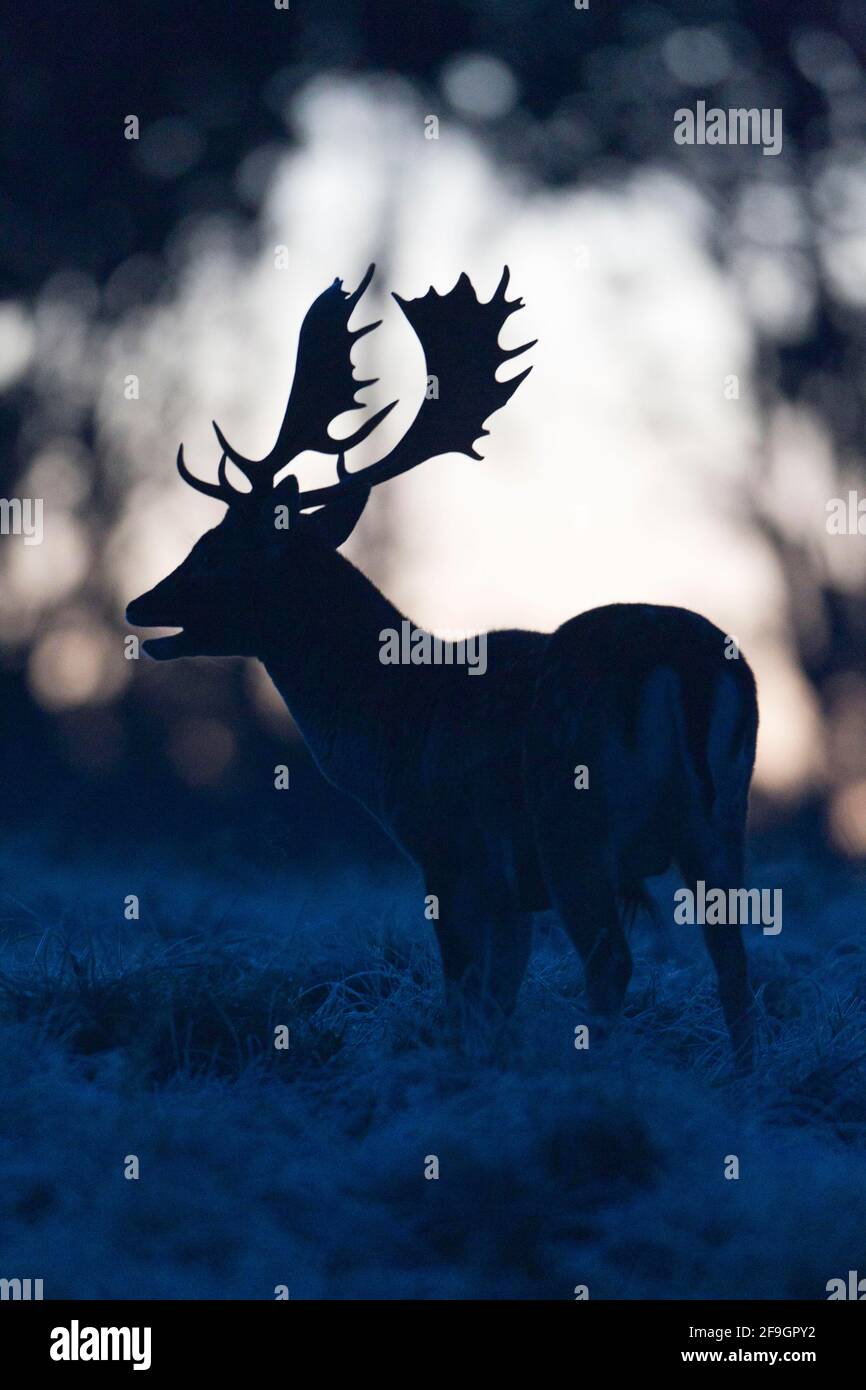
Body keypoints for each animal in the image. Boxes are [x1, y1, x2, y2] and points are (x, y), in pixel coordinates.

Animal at [126, 264, 759, 1071]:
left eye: (214, 552)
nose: (140, 604)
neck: (389, 719)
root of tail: (689, 665)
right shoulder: (508, 889)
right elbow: (500, 996)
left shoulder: (451, 854)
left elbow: (464, 996)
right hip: (723, 824)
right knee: (735, 964)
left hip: (573, 818)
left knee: (613, 959)